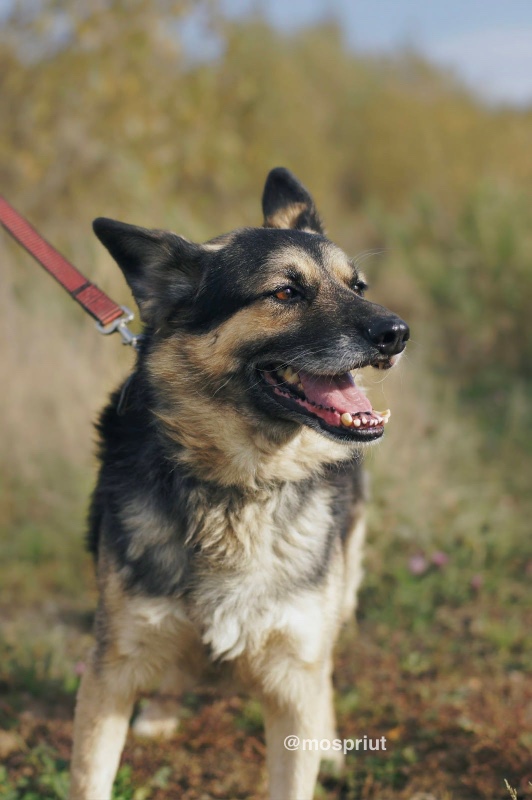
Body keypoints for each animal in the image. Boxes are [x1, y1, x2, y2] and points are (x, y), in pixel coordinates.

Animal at [68, 166, 410, 796]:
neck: (239, 487)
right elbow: (90, 777)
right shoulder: (111, 671)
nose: (397, 333)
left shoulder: (293, 678)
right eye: (285, 293)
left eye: (358, 286)